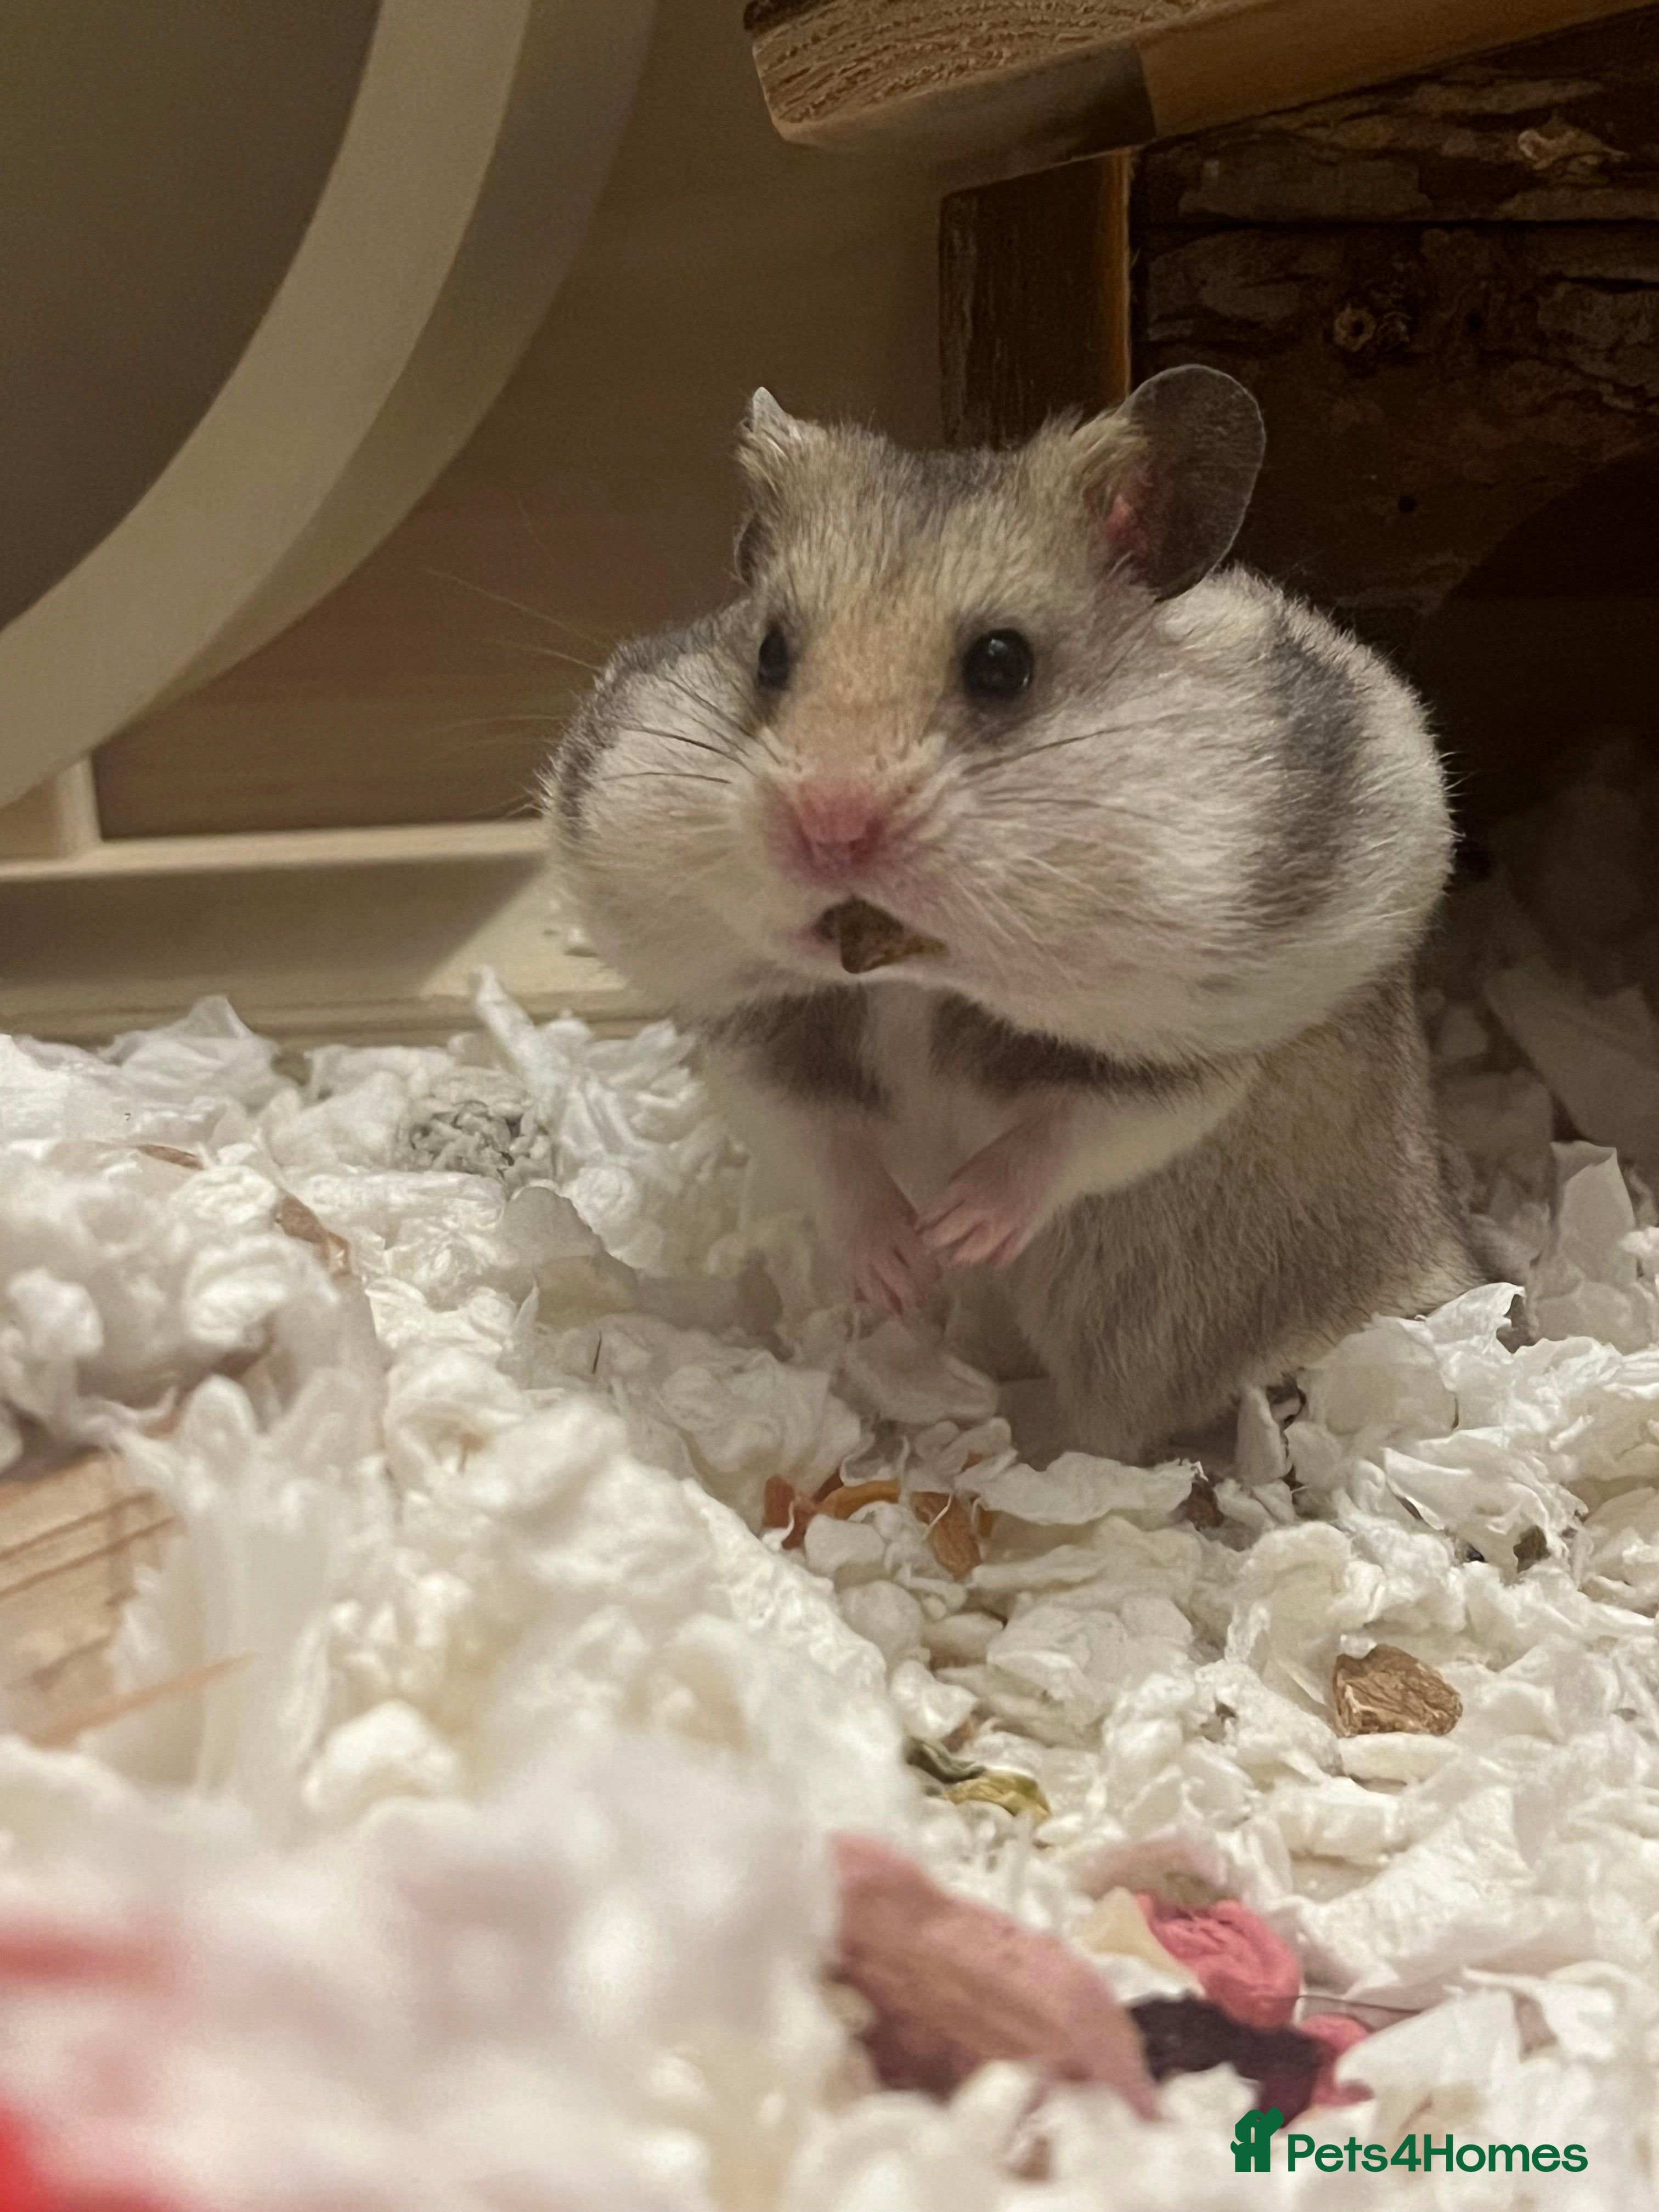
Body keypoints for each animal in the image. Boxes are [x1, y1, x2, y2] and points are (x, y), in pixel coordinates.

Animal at [545, 369, 1483, 1464]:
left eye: (1002, 663)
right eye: (770, 654)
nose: (828, 828)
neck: (915, 979)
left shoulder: (1194, 1052)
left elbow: (1073, 1132)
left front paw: (961, 1227)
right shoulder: (753, 1036)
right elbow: (819, 1147)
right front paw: (903, 1268)